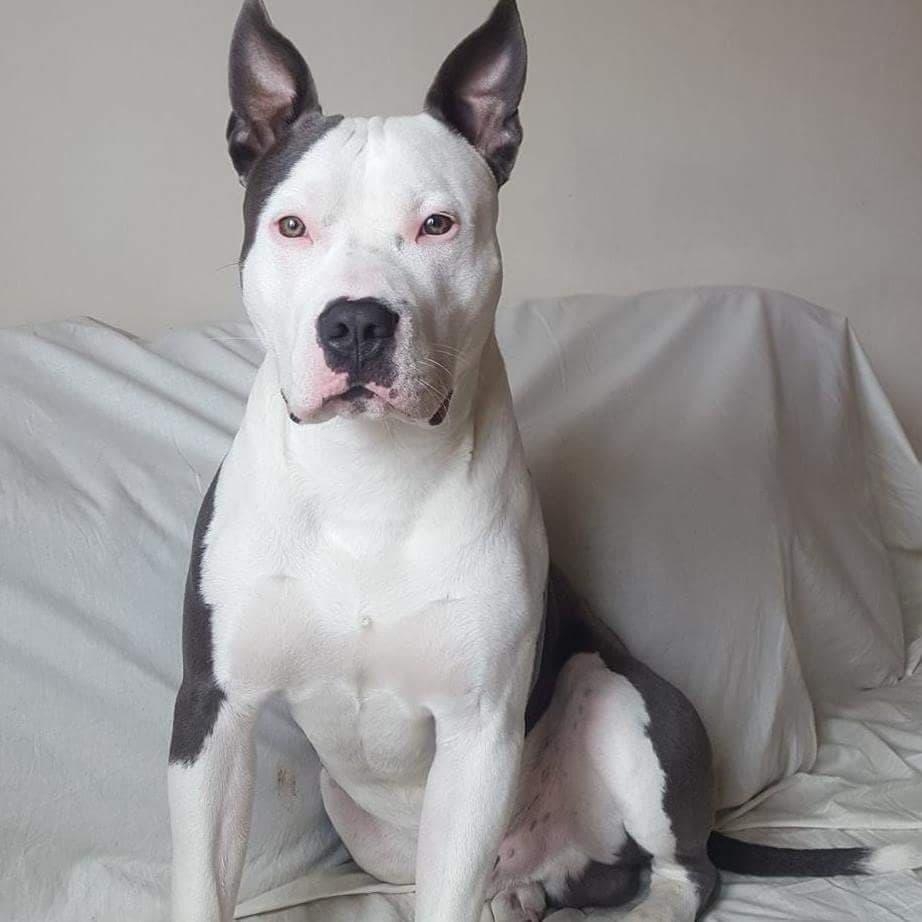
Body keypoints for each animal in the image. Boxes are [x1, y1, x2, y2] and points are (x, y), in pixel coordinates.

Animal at [168, 2, 920, 920]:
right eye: (292, 226)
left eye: (438, 225)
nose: (355, 323)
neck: (368, 479)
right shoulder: (215, 713)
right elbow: (204, 882)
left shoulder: (479, 730)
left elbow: (450, 890)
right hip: (358, 822)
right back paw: (521, 895)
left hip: (622, 702)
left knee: (685, 864)